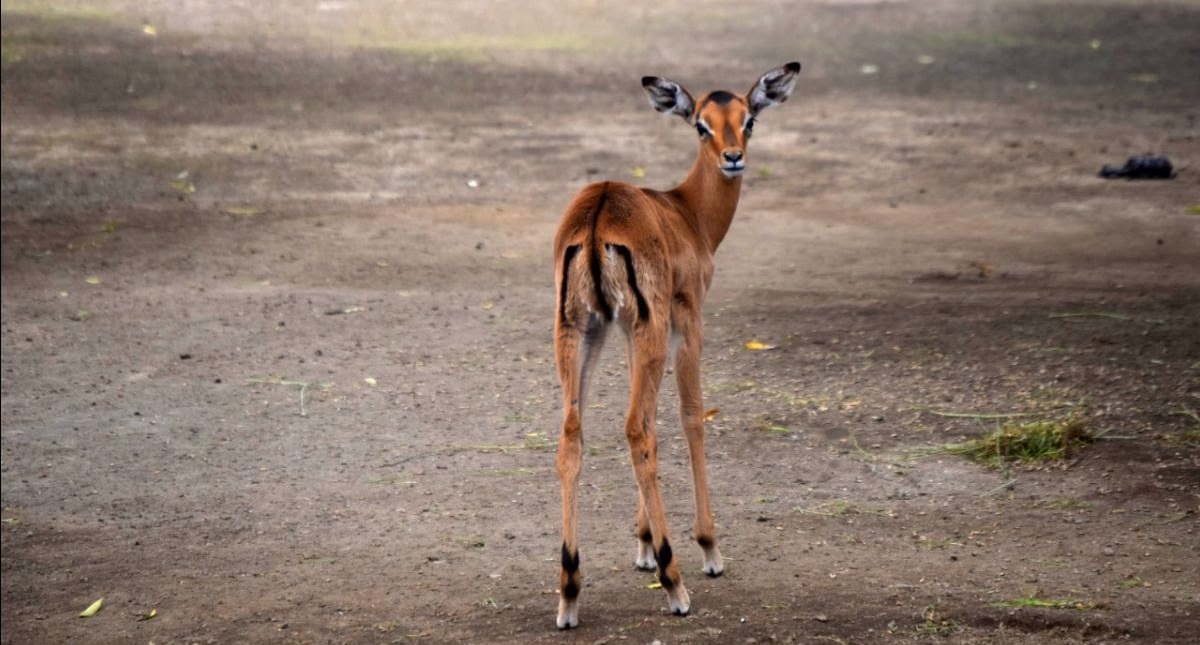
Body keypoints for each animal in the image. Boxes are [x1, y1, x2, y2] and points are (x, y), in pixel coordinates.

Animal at [552, 62, 801, 629]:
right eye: (701, 125)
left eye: (749, 119)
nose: (733, 157)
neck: (686, 214)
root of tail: (597, 218)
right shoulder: (687, 318)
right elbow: (690, 415)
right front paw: (708, 549)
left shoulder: (628, 330)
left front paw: (643, 544)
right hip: (643, 329)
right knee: (635, 429)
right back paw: (676, 585)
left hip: (581, 331)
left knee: (575, 433)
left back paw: (571, 591)